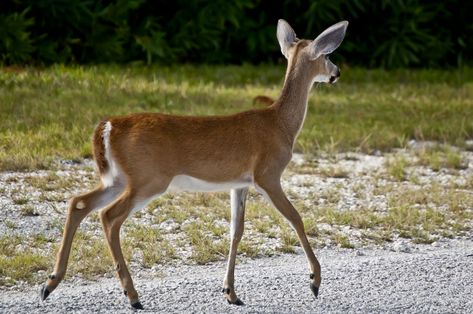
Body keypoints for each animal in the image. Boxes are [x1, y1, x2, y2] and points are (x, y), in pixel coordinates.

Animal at [40, 19, 346, 310]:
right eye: (328, 55)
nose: (337, 73)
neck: (281, 124)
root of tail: (108, 126)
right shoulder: (268, 175)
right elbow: (296, 217)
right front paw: (315, 281)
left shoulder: (240, 184)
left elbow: (236, 231)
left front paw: (230, 293)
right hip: (149, 178)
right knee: (108, 216)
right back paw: (132, 296)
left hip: (118, 178)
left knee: (79, 202)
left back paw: (50, 283)